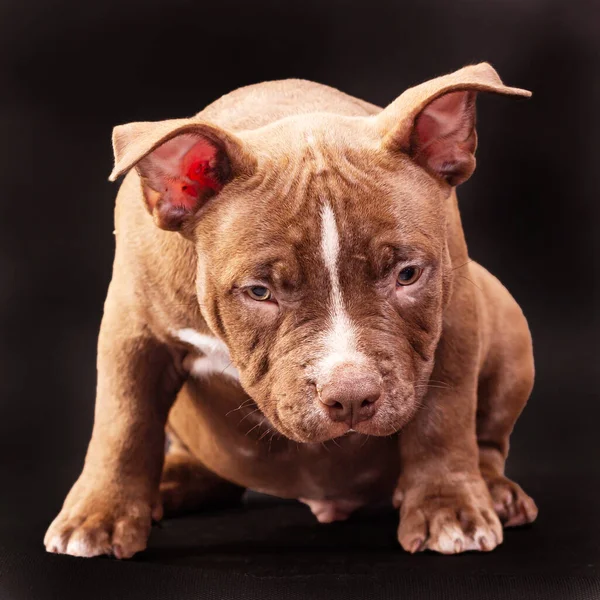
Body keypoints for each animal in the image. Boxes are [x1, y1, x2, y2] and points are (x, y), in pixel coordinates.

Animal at [44, 63, 536, 560]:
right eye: (260, 292)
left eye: (408, 274)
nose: (352, 397)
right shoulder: (133, 330)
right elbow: (123, 421)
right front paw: (100, 515)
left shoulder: (455, 316)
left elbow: (444, 414)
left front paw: (448, 508)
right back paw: (166, 484)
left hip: (507, 321)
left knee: (487, 440)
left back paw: (495, 492)